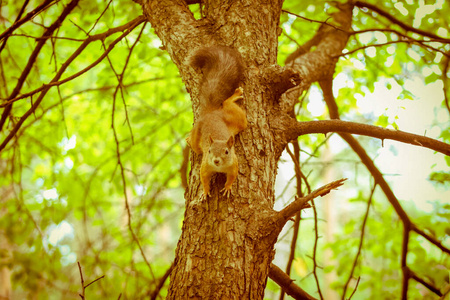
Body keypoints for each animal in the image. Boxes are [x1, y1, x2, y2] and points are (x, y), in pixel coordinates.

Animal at [187, 45, 248, 199]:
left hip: (238, 120)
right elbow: (203, 178)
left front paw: (227, 187)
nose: (215, 160)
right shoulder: (205, 165)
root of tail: (211, 113)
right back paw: (188, 139)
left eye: (226, 151)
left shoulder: (234, 164)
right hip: (198, 135)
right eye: (209, 150)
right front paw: (205, 192)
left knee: (227, 104)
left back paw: (235, 95)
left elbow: (232, 177)